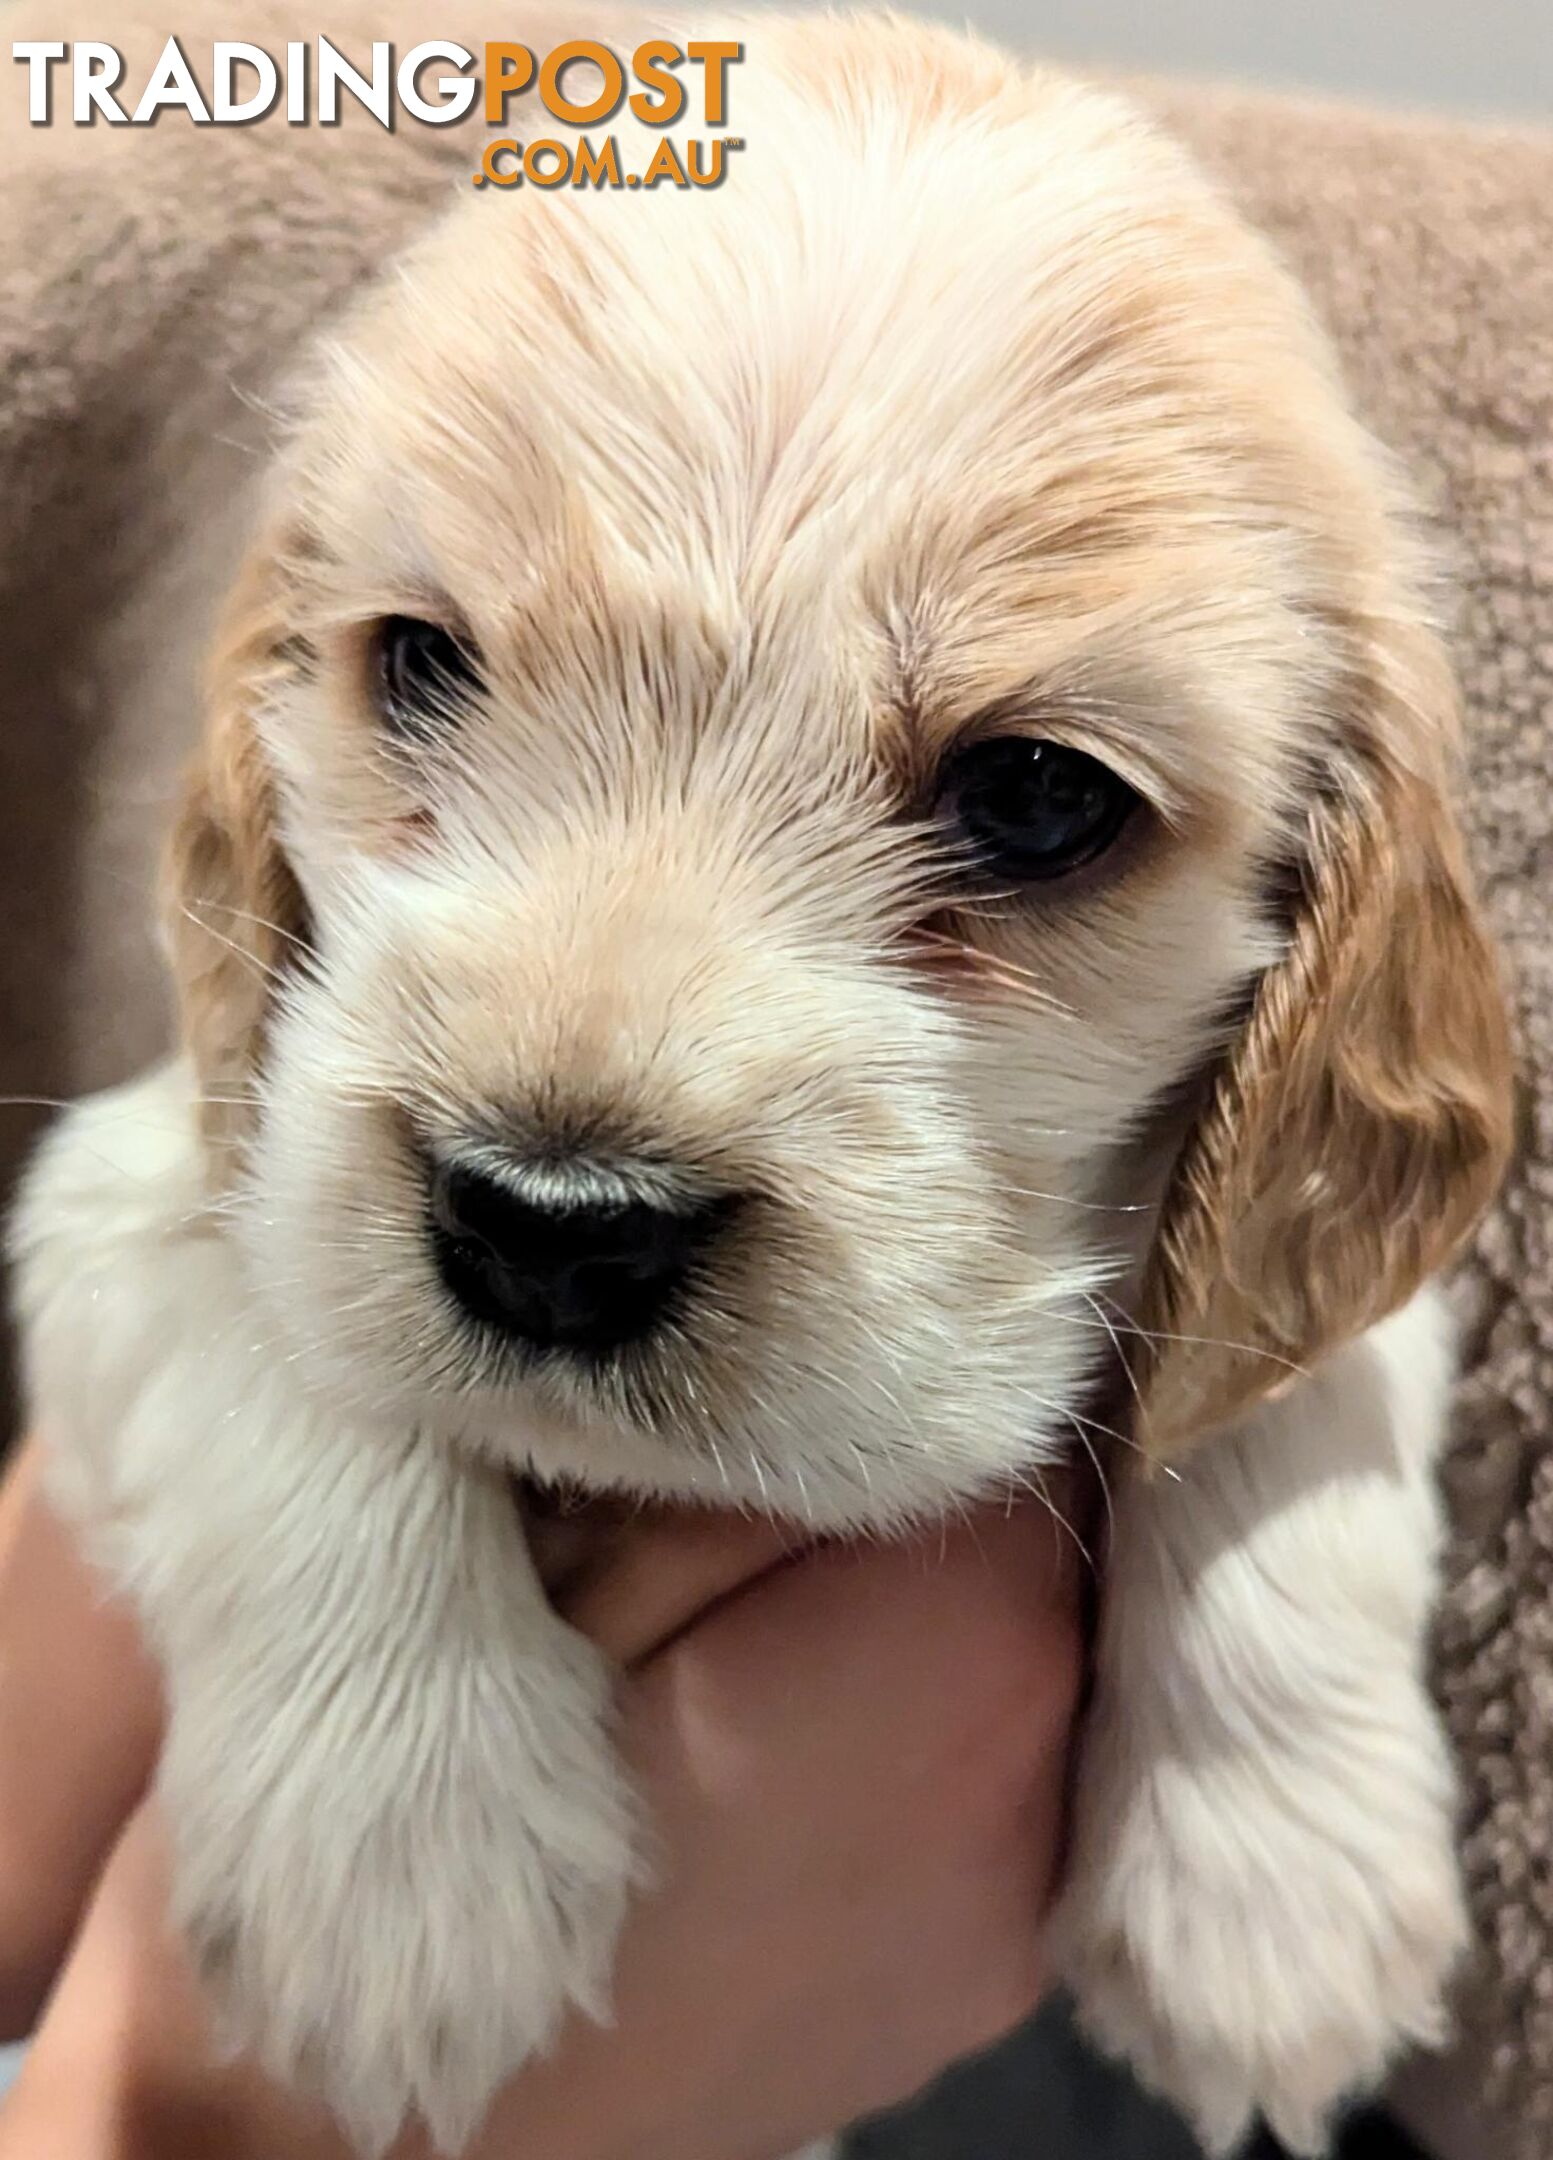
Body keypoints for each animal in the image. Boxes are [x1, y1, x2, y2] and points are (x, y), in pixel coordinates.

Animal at [9, 16, 1520, 2160]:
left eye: (1035, 797)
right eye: (418, 665)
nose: (550, 1229)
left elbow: (1290, 1401)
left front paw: (1269, 1892)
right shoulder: (173, 1147)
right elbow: (275, 1340)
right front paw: (401, 1863)